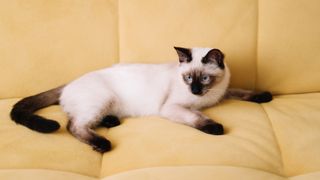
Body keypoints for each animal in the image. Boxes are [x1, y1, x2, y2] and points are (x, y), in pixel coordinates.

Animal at [10, 47, 272, 153]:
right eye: (188, 78)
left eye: (205, 78)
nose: (196, 90)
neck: (208, 96)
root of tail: (68, 83)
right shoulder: (173, 107)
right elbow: (197, 117)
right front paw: (215, 127)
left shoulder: (221, 93)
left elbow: (241, 91)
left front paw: (263, 96)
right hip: (102, 100)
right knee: (73, 125)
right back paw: (103, 144)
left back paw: (111, 122)